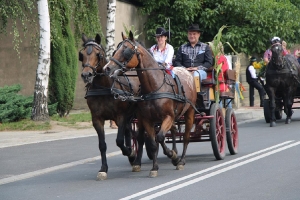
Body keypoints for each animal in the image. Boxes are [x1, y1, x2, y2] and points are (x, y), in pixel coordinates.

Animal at [79, 33, 141, 180]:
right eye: (81, 54)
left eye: (98, 54)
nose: (86, 75)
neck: (104, 88)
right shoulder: (97, 119)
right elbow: (102, 145)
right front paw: (103, 169)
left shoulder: (120, 116)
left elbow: (119, 141)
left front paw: (130, 152)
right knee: (129, 132)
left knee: (139, 135)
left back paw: (135, 159)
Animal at [103, 30, 197, 177]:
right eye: (115, 50)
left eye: (126, 51)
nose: (107, 68)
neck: (155, 86)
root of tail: (187, 72)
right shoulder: (148, 119)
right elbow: (153, 142)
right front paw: (155, 168)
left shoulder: (168, 117)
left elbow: (160, 137)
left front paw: (173, 157)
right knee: (173, 131)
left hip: (189, 113)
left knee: (186, 136)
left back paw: (181, 160)